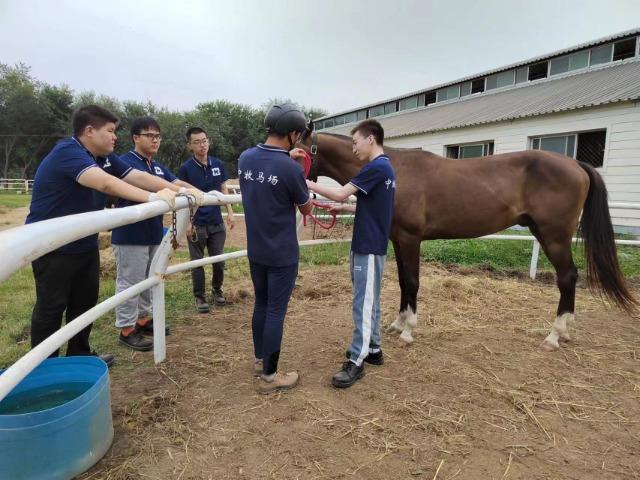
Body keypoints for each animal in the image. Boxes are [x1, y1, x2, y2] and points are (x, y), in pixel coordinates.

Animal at [298, 129, 636, 350]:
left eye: (296, 148)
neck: (394, 170)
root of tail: (575, 163)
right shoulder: (396, 239)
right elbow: (403, 282)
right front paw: (397, 324)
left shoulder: (410, 238)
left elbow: (413, 282)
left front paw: (408, 331)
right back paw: (564, 332)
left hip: (554, 236)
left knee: (567, 277)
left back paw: (554, 335)